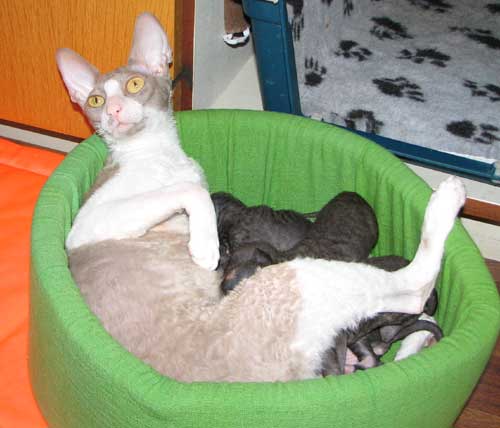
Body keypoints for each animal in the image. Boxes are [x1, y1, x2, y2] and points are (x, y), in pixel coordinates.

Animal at [59, 12, 465, 383]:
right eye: (95, 100)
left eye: (134, 84)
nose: (111, 111)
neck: (155, 153)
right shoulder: (89, 224)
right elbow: (192, 192)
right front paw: (205, 247)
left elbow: (193, 189)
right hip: (306, 276)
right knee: (414, 288)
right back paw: (447, 198)